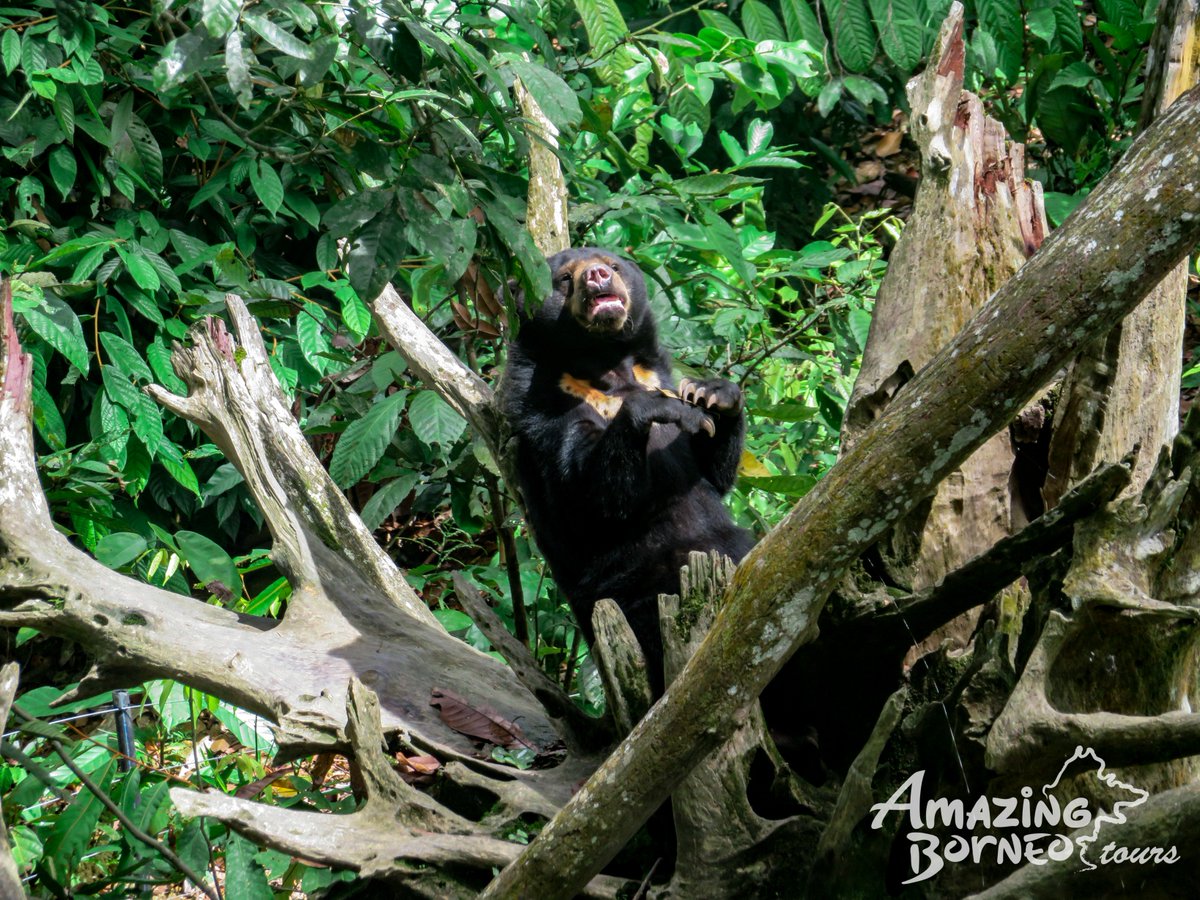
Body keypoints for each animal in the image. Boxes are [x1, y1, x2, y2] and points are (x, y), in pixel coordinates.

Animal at [501, 246, 755, 690]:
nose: (597, 276)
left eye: (612, 264)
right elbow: (586, 498)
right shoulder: (544, 408)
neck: (607, 366)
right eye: (564, 278)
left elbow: (711, 473)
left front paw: (712, 394)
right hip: (638, 583)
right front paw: (657, 408)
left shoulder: (658, 373)